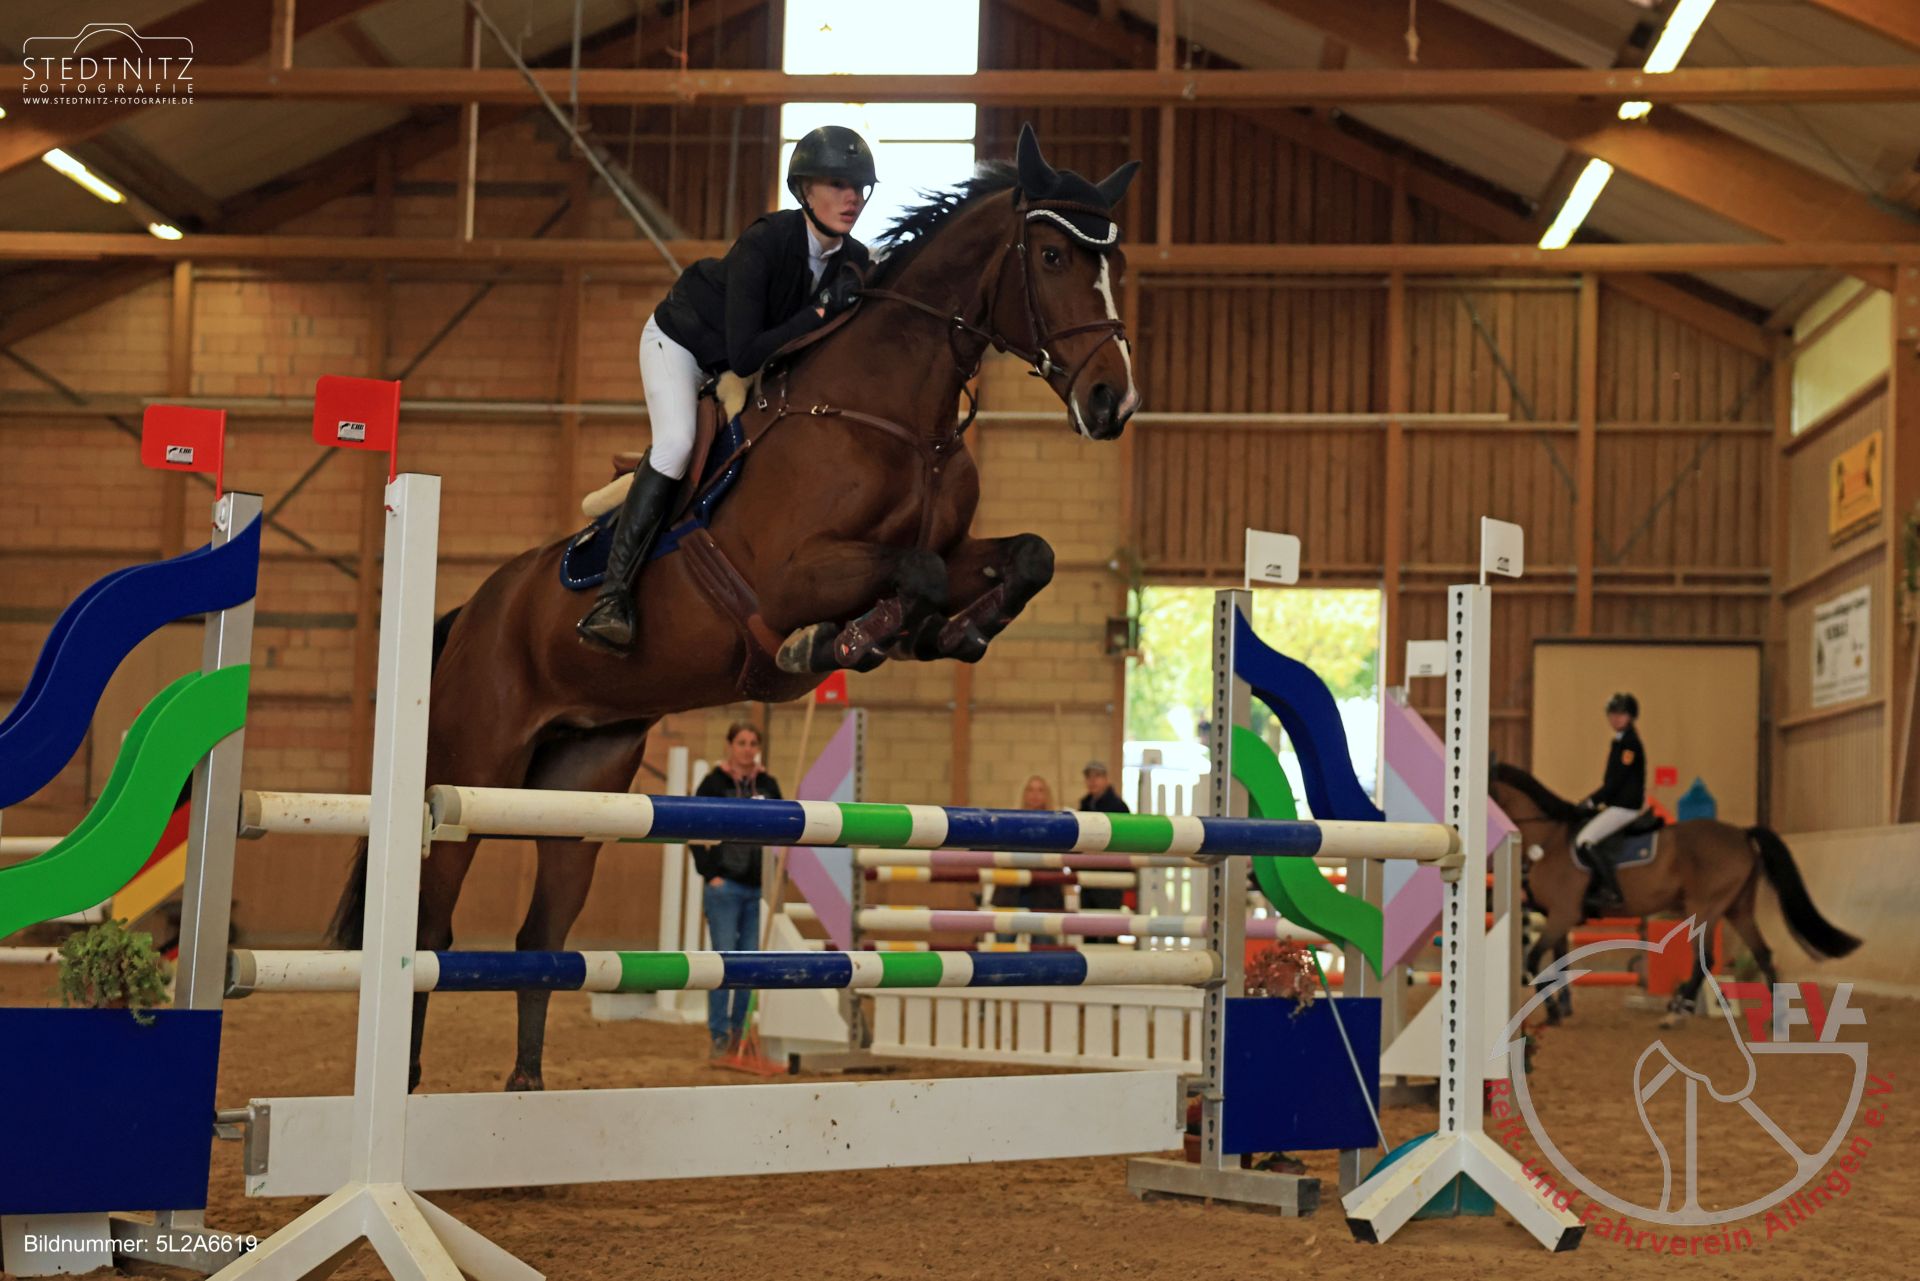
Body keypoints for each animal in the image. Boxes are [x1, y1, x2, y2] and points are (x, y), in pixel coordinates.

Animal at [330, 126, 1143, 1091]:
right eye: (1052, 257)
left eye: (1114, 263)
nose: (1114, 401)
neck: (893, 412)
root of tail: (472, 612)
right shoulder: (792, 575)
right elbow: (911, 574)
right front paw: (841, 641)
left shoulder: (957, 546)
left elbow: (1026, 556)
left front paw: (956, 630)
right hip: (471, 767)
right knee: (430, 922)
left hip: (581, 782)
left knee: (541, 937)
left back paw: (526, 1088)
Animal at [1490, 763, 1860, 1024]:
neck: (1549, 838)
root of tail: (1741, 834)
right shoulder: (1555, 916)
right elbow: (1548, 962)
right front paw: (1557, 1009)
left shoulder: (1562, 913)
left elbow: (1533, 961)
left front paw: (1552, 1013)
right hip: (1736, 909)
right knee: (1762, 953)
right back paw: (1774, 1018)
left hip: (1704, 907)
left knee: (1705, 959)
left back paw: (1677, 1011)